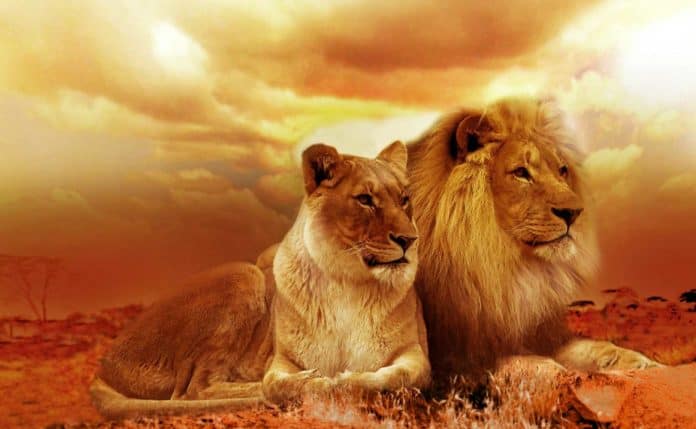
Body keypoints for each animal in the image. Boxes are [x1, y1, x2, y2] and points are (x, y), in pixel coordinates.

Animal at [262, 141, 431, 402]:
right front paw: (316, 382)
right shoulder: (281, 358)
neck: (346, 280)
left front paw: (346, 381)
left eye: (404, 199)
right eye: (365, 199)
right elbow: (275, 384)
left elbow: (397, 376)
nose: (410, 239)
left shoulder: (414, 351)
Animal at [406, 97, 661, 379]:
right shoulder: (453, 358)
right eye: (521, 172)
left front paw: (639, 361)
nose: (574, 212)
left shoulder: (541, 334)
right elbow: (518, 359)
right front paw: (551, 371)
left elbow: (590, 347)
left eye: (562, 170)